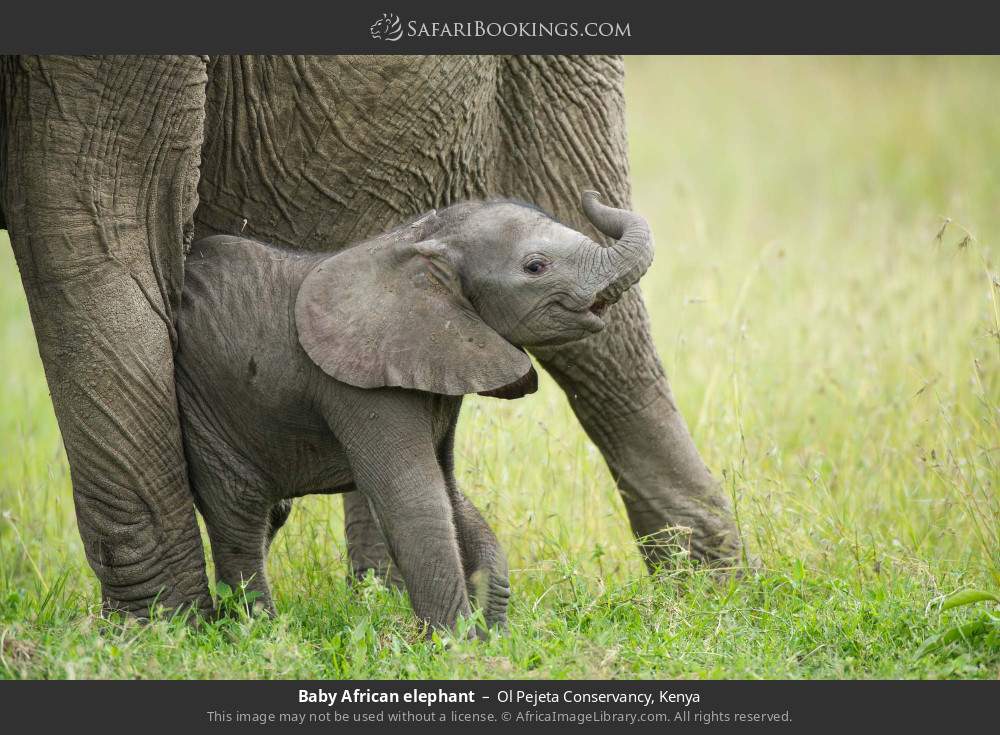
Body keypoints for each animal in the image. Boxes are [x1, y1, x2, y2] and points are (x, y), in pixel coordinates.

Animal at [175, 192, 654, 632]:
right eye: (536, 267)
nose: (592, 196)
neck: (418, 242)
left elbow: (450, 491)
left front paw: (491, 632)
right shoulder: (360, 384)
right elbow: (414, 500)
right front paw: (456, 646)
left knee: (268, 515)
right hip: (207, 410)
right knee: (240, 508)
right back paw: (259, 632)